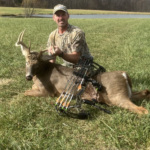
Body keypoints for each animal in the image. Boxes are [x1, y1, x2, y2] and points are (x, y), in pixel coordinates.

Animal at [15, 30, 150, 115]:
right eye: (26, 62)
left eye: (36, 63)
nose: (28, 76)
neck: (42, 72)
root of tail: (124, 74)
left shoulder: (48, 91)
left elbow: (25, 92)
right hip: (128, 93)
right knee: (145, 92)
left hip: (117, 96)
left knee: (143, 110)